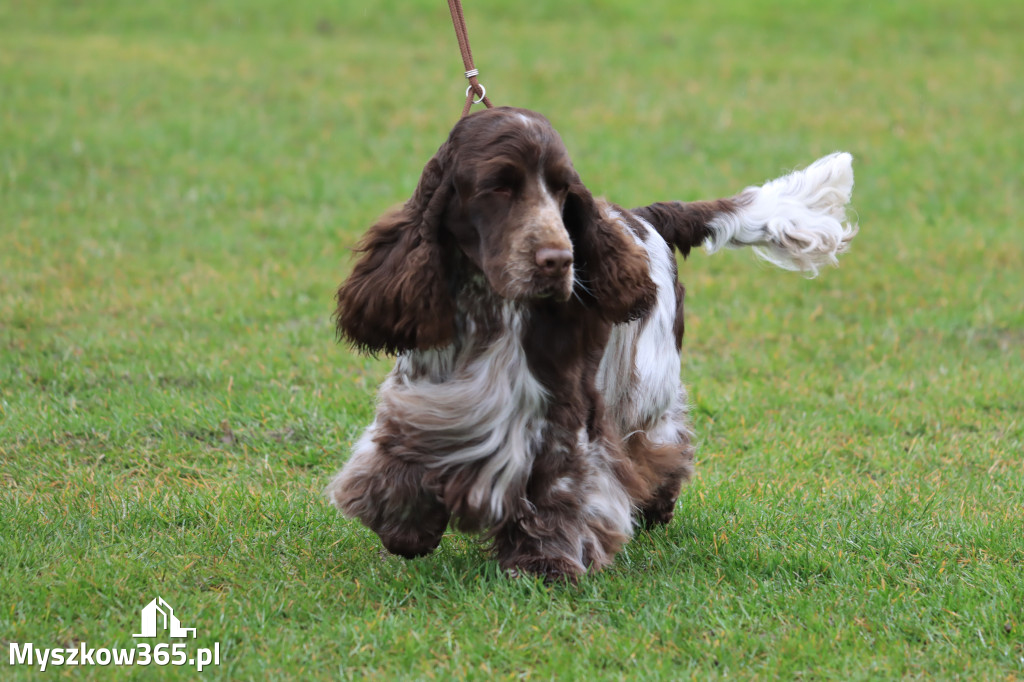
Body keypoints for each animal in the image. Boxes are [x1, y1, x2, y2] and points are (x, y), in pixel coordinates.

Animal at [327, 106, 856, 577]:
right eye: (500, 186)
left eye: (563, 189)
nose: (558, 259)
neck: (491, 313)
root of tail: (646, 217)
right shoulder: (426, 397)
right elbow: (400, 459)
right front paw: (405, 531)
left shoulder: (561, 415)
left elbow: (560, 487)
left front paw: (547, 564)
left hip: (649, 385)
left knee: (663, 443)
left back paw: (656, 506)